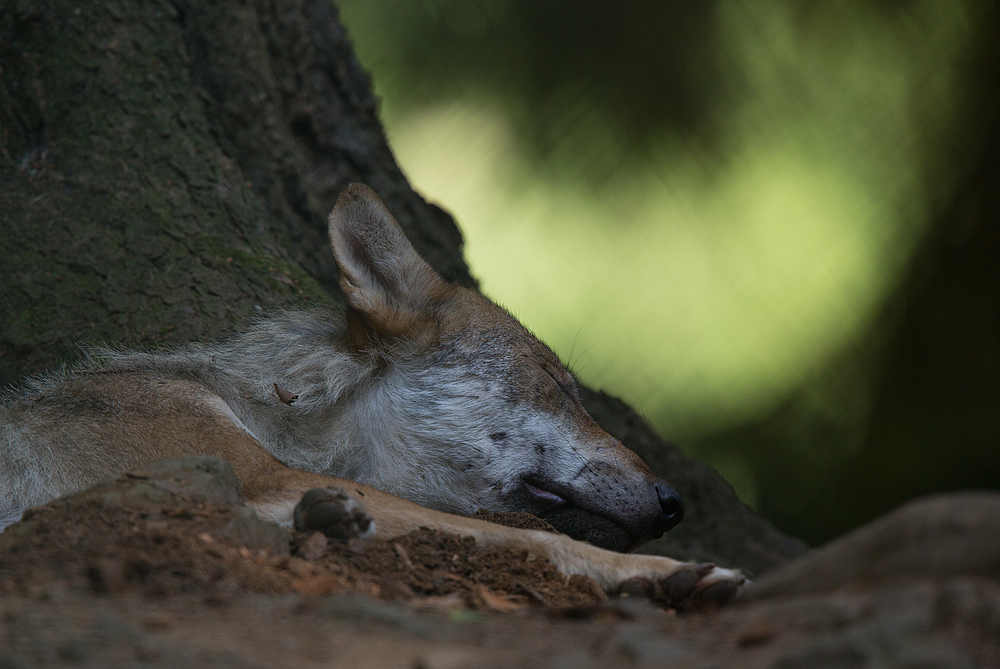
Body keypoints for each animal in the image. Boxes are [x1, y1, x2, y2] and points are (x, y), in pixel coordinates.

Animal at [0, 185, 748, 604]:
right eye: (557, 384)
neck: (271, 410)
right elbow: (528, 539)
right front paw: (664, 571)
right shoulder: (256, 478)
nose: (675, 503)